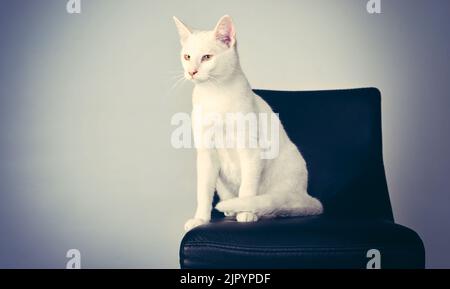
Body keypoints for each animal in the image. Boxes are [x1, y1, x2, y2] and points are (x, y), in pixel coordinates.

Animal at [173, 15, 324, 232]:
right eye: (187, 57)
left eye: (207, 57)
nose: (191, 72)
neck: (215, 94)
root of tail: (305, 195)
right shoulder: (206, 153)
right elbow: (203, 192)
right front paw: (200, 219)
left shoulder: (251, 150)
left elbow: (247, 187)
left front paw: (245, 212)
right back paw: (231, 209)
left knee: (280, 205)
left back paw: (257, 209)